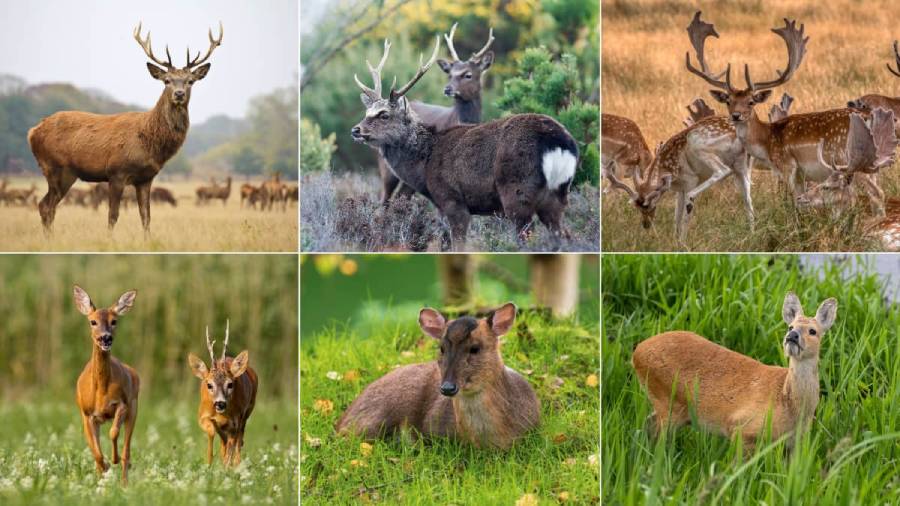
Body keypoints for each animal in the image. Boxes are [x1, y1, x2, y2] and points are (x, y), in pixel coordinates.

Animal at [28, 22, 222, 235]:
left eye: (190, 81)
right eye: (167, 80)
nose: (179, 94)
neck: (149, 142)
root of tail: (33, 131)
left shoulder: (146, 178)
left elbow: (146, 217)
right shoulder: (116, 172)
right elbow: (113, 216)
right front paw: (109, 239)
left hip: (65, 173)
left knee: (47, 206)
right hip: (55, 167)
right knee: (46, 205)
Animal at [72, 285, 140, 483]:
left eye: (114, 321)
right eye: (92, 322)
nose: (105, 338)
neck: (100, 391)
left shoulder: (122, 404)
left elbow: (113, 433)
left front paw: (113, 460)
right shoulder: (87, 413)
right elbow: (96, 452)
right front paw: (105, 467)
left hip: (134, 407)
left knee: (127, 451)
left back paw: (124, 480)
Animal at [188, 321, 258, 467]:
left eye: (230, 384)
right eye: (209, 385)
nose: (220, 403)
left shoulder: (235, 422)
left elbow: (233, 445)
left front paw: (226, 466)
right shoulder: (202, 415)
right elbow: (211, 431)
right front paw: (209, 463)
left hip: (246, 413)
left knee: (239, 440)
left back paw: (236, 464)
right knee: (225, 441)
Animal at [633, 292, 836, 451]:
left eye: (813, 331)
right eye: (790, 326)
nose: (792, 336)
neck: (789, 403)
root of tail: (636, 352)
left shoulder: (794, 444)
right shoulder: (741, 428)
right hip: (667, 401)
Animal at [686, 12, 888, 216]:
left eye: (751, 102)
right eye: (729, 101)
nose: (736, 115)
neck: (766, 143)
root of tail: (870, 119)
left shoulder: (786, 166)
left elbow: (791, 202)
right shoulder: (800, 175)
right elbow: (799, 201)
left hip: (853, 162)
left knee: (877, 193)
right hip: (872, 166)